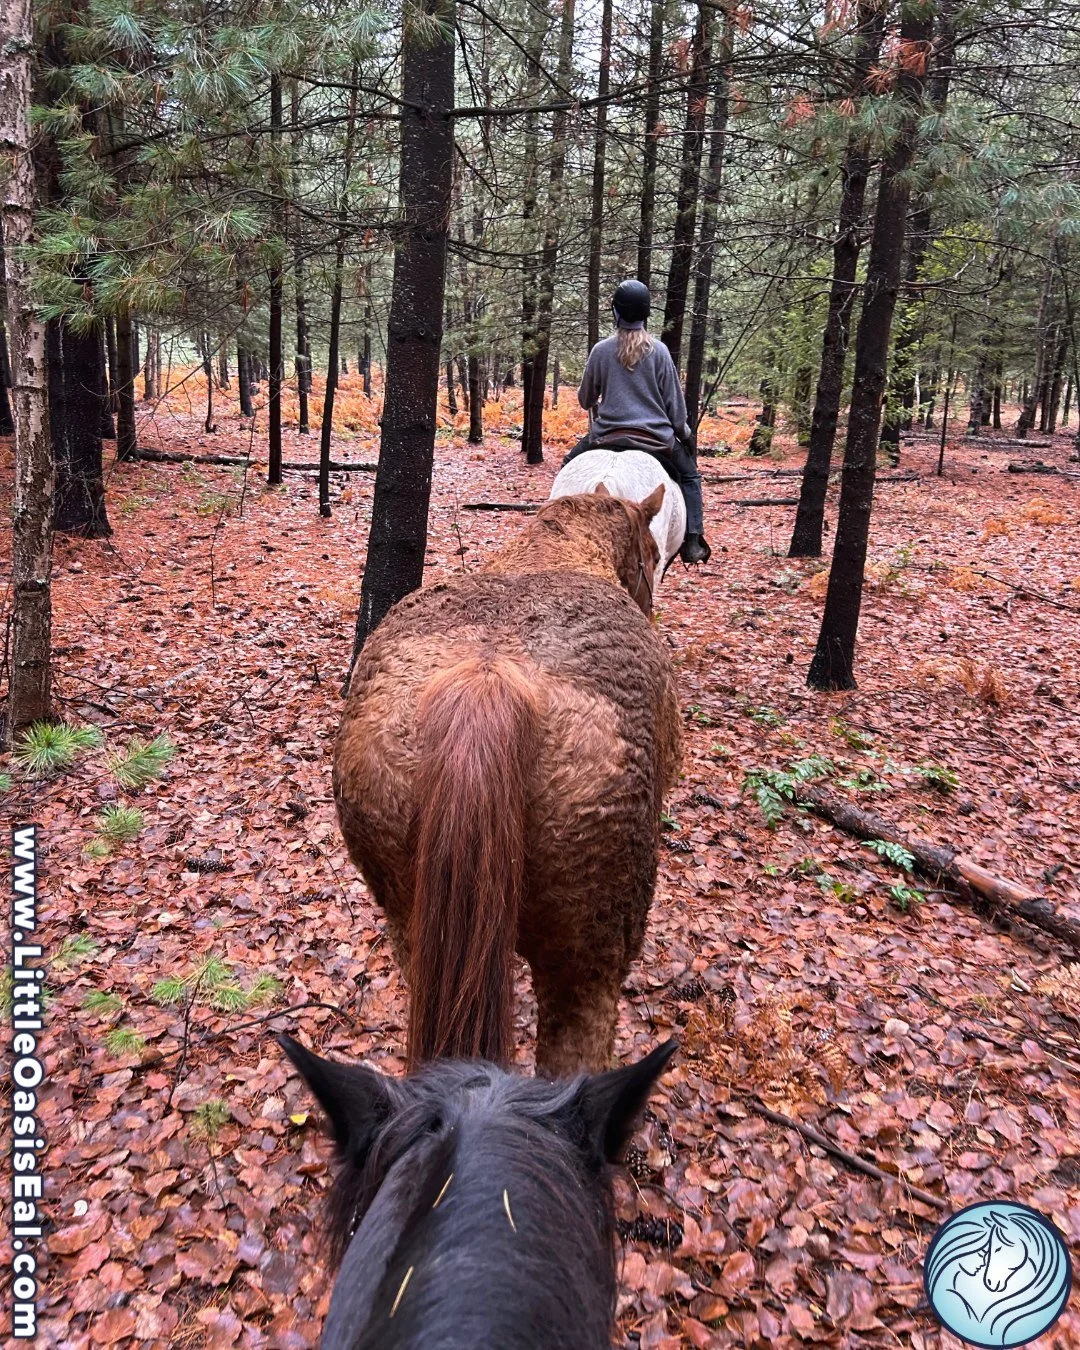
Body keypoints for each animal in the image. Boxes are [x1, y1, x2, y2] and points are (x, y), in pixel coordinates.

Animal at [334, 487, 682, 1075]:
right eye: (653, 555)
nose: (651, 606)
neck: (557, 550)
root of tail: (488, 684)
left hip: (410, 926)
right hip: (586, 967)